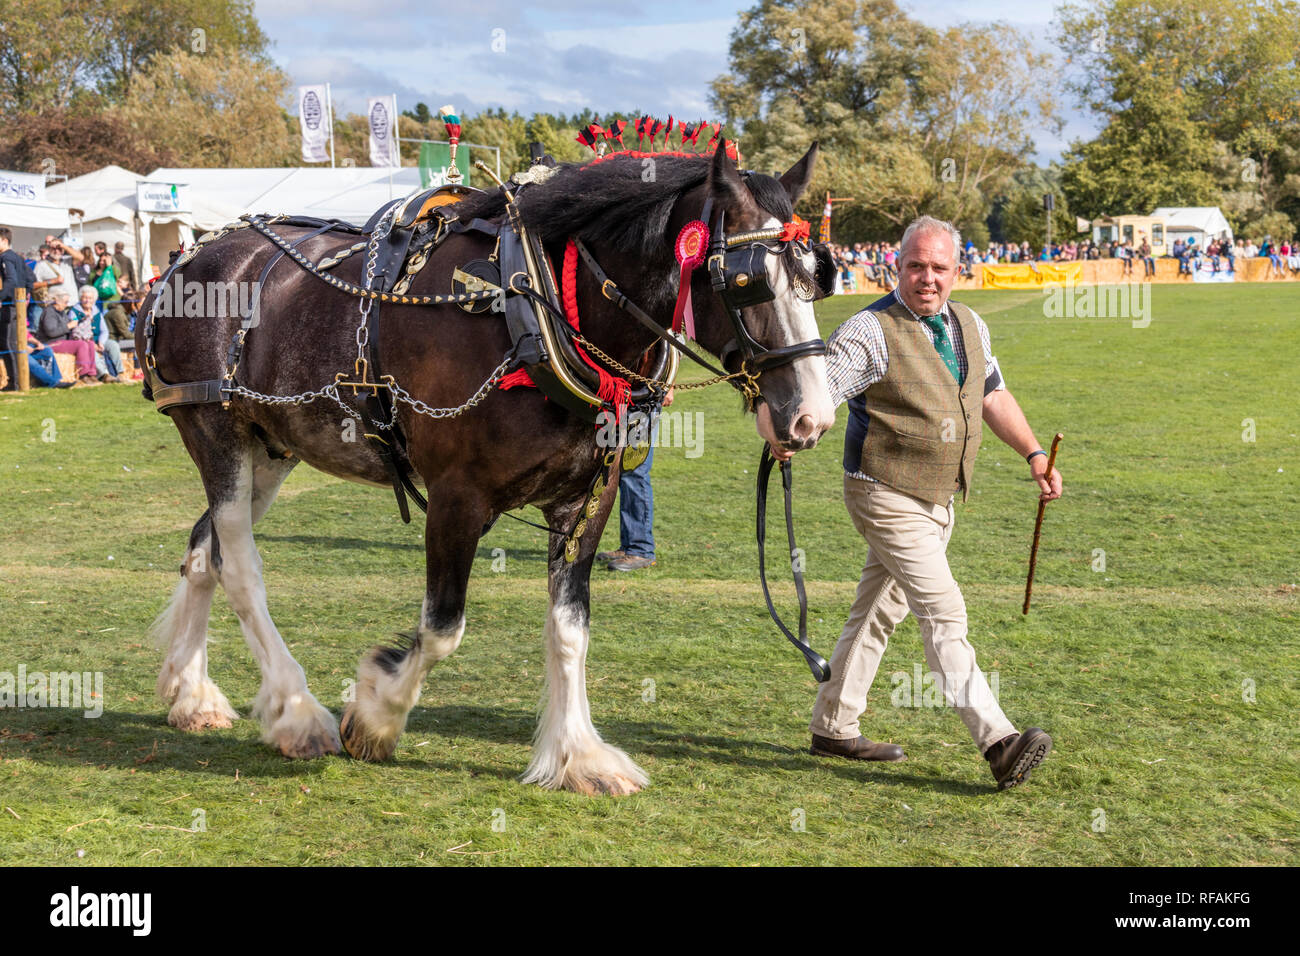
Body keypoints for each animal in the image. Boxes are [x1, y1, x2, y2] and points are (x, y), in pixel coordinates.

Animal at [136, 142, 835, 795]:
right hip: (216, 432)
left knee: (205, 551)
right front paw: (376, 714)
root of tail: (191, 258)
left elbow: (569, 629)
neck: (536, 307)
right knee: (241, 568)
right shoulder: (456, 496)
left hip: (270, 450)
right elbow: (443, 628)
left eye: (817, 275)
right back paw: (297, 712)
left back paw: (191, 692)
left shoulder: (588, 499)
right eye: (746, 282)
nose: (812, 417)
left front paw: (576, 754)